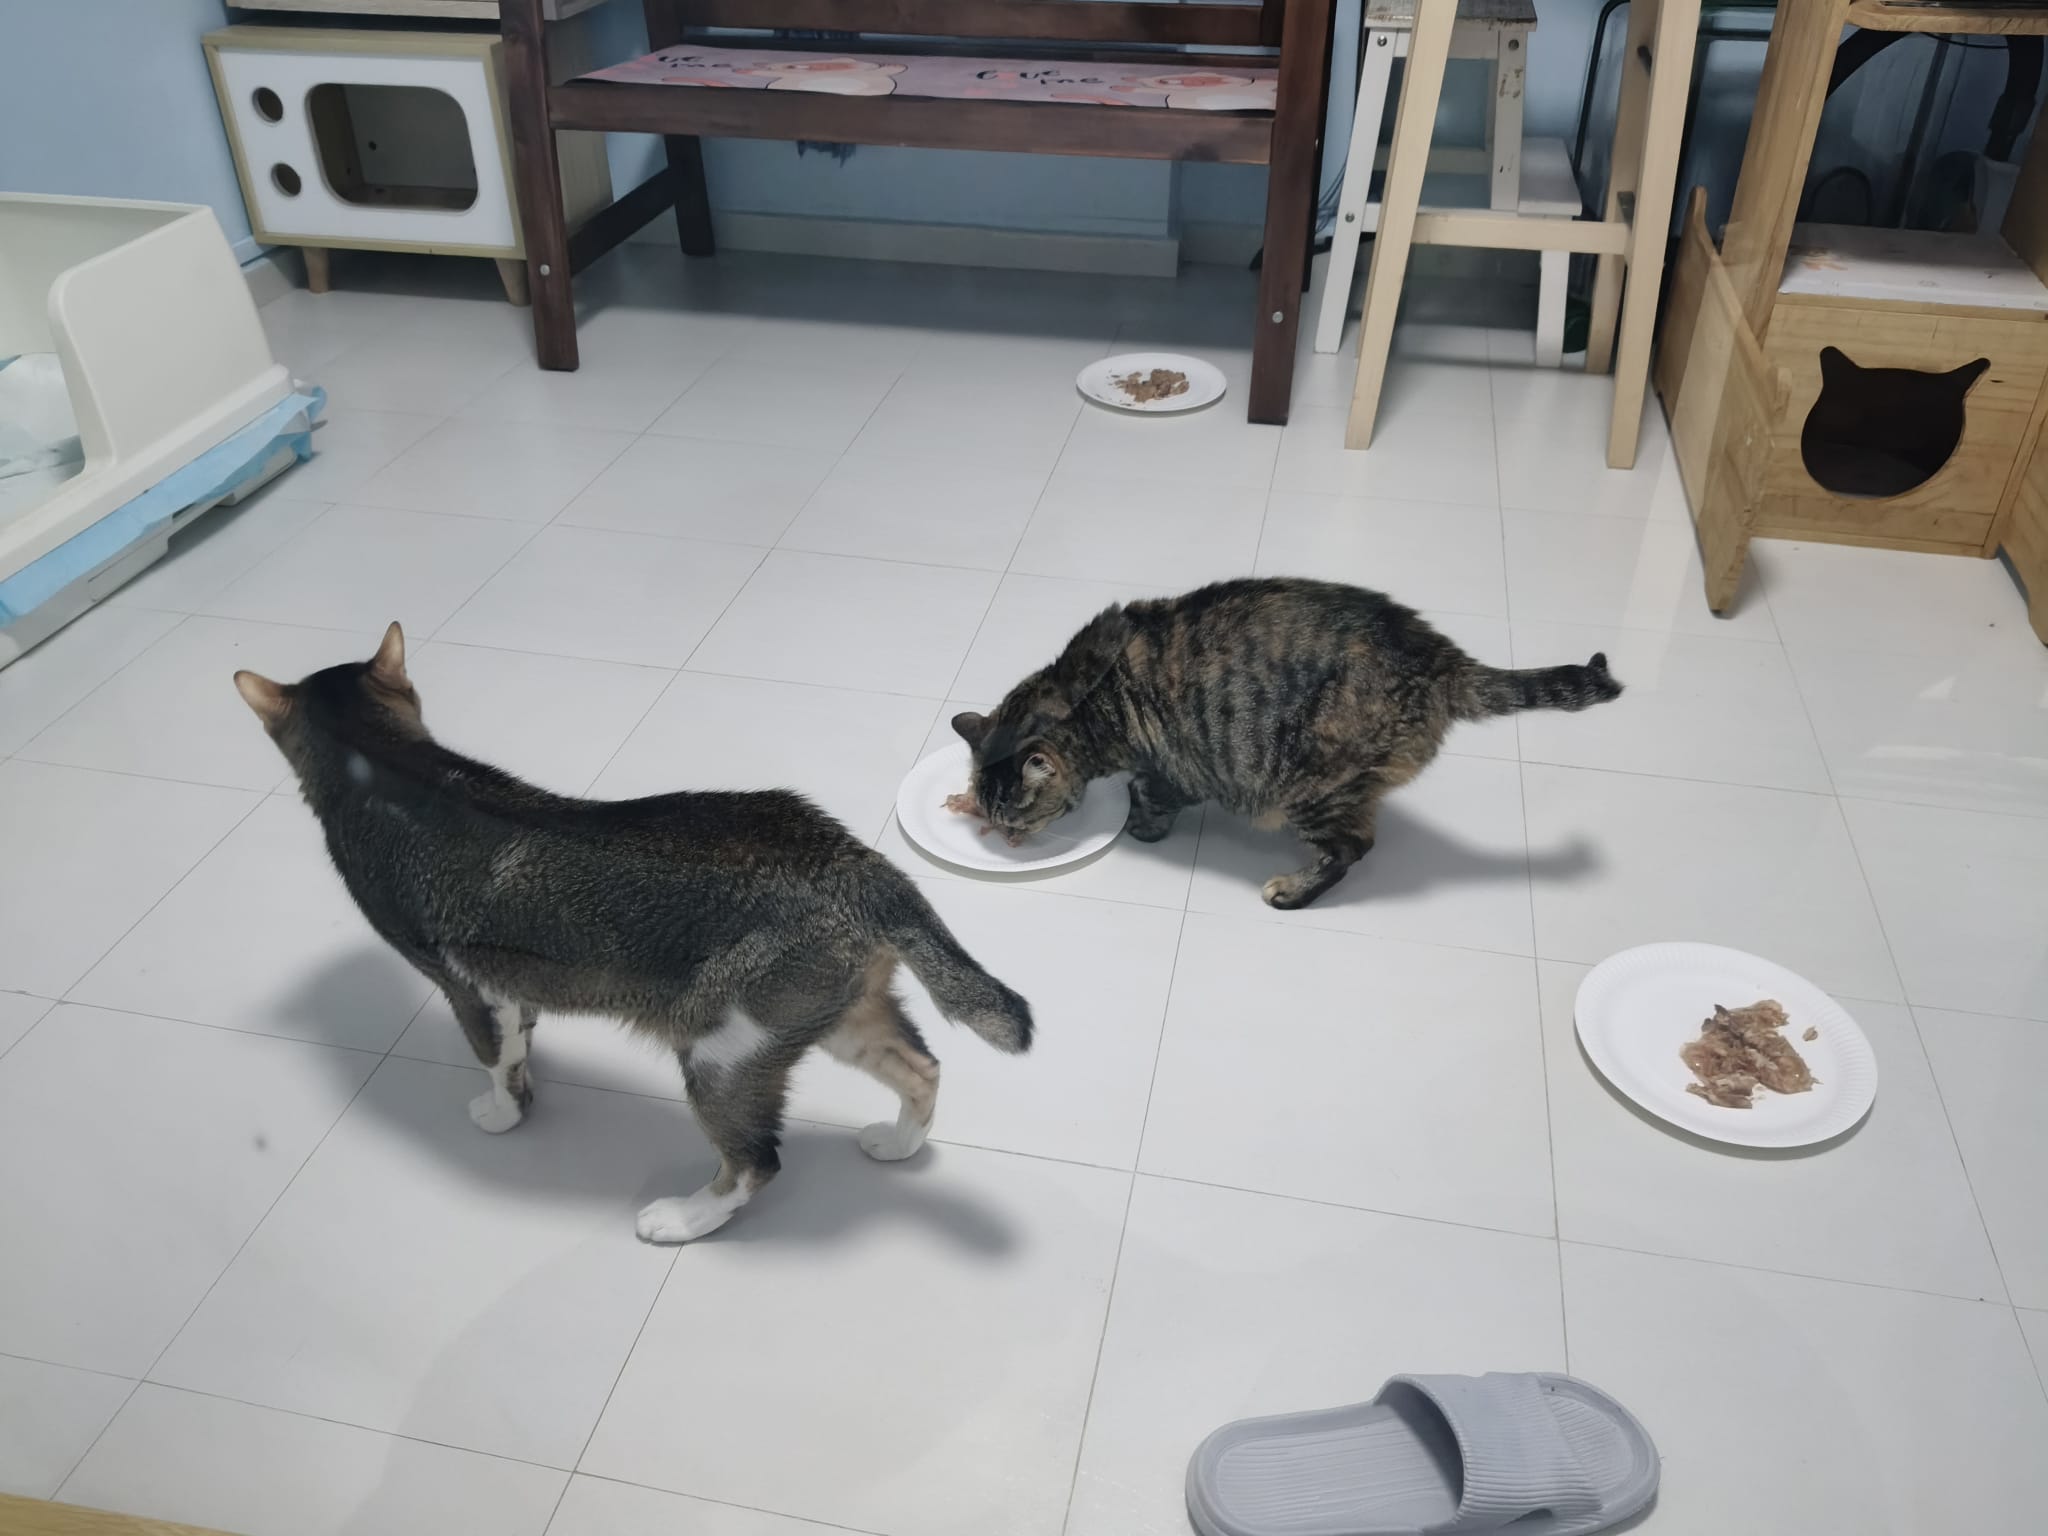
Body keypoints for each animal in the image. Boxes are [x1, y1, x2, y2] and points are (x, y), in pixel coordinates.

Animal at [235, 623, 1032, 1244]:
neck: (386, 766)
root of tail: (853, 863)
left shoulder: (466, 985)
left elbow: (494, 1057)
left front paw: (501, 1112)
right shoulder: (512, 983)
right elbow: (521, 1037)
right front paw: (528, 1073)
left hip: (721, 1050)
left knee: (757, 1161)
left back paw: (681, 1218)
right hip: (834, 1013)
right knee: (921, 1066)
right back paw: (897, 1144)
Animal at [951, 577, 1621, 910]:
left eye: (1014, 815)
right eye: (992, 813)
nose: (1004, 837)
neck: (1089, 695)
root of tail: (1443, 661)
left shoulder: (1175, 766)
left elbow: (1153, 793)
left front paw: (1142, 825)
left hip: (1311, 788)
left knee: (1353, 847)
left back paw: (1291, 892)